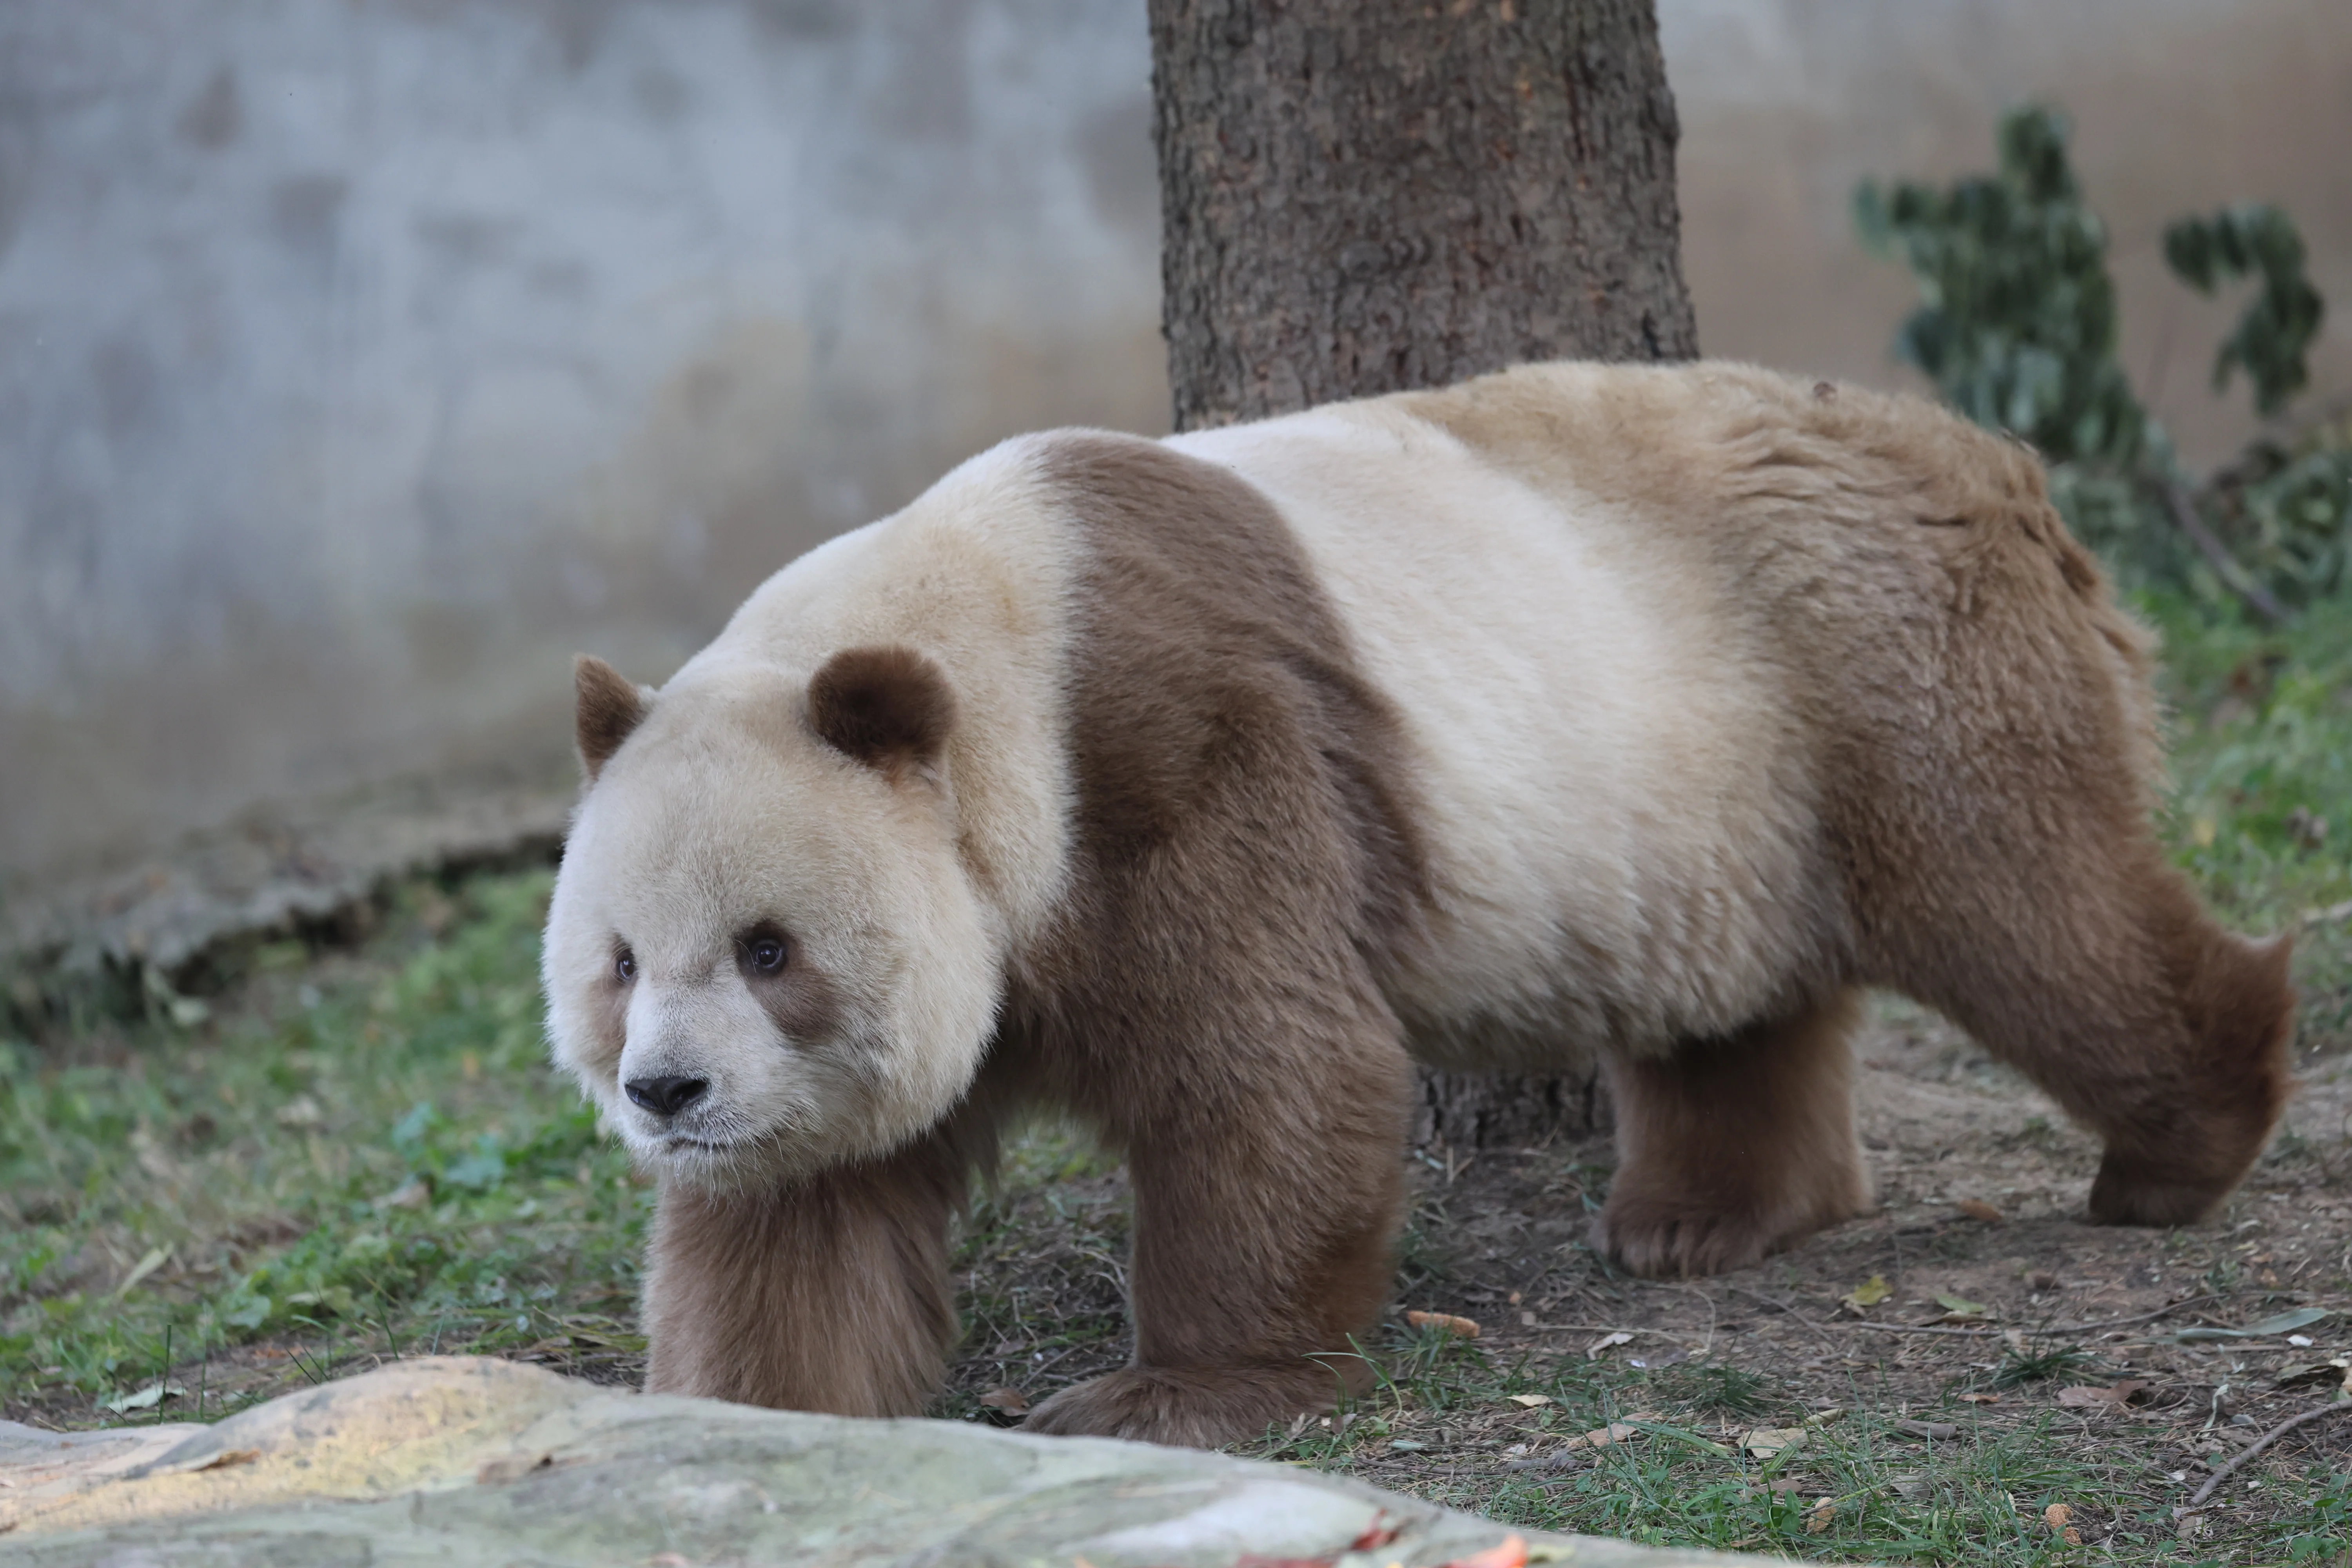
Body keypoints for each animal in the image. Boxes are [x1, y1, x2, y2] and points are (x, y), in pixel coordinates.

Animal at [542, 360, 2293, 1448]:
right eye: (623, 963)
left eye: (772, 950)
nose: (667, 1092)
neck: (983, 644)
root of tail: (1995, 462)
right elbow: (806, 1210)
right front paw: (753, 1412)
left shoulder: (1166, 750)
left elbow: (1270, 1066)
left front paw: (1166, 1397)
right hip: (1719, 782)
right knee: (1736, 993)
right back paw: (1708, 1215)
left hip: (1863, 652)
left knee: (2026, 903)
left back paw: (2182, 1143)